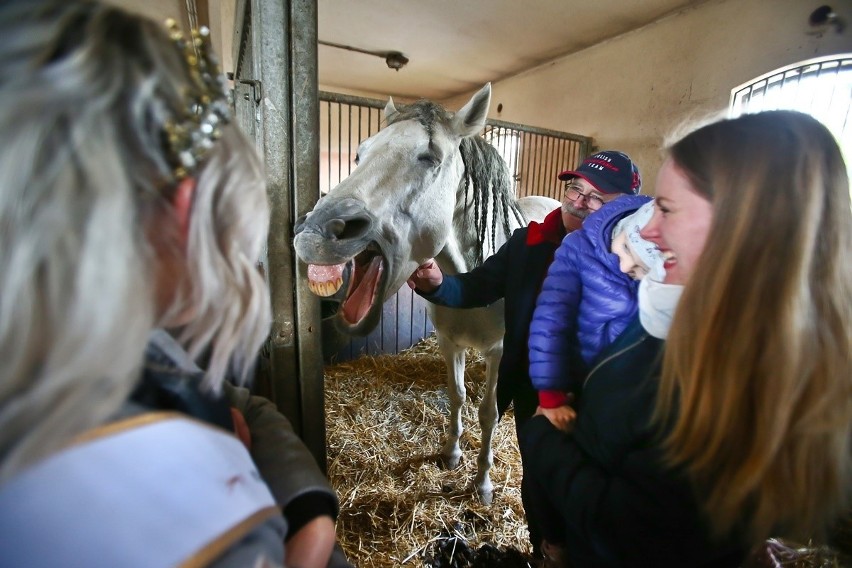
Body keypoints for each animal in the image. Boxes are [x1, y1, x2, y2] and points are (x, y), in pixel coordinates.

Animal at [294, 83, 560, 502]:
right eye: (359, 154)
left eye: (429, 157)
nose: (314, 232)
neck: (472, 280)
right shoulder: (450, 343)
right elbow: (457, 396)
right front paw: (451, 454)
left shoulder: (498, 352)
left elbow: (489, 412)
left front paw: (482, 483)